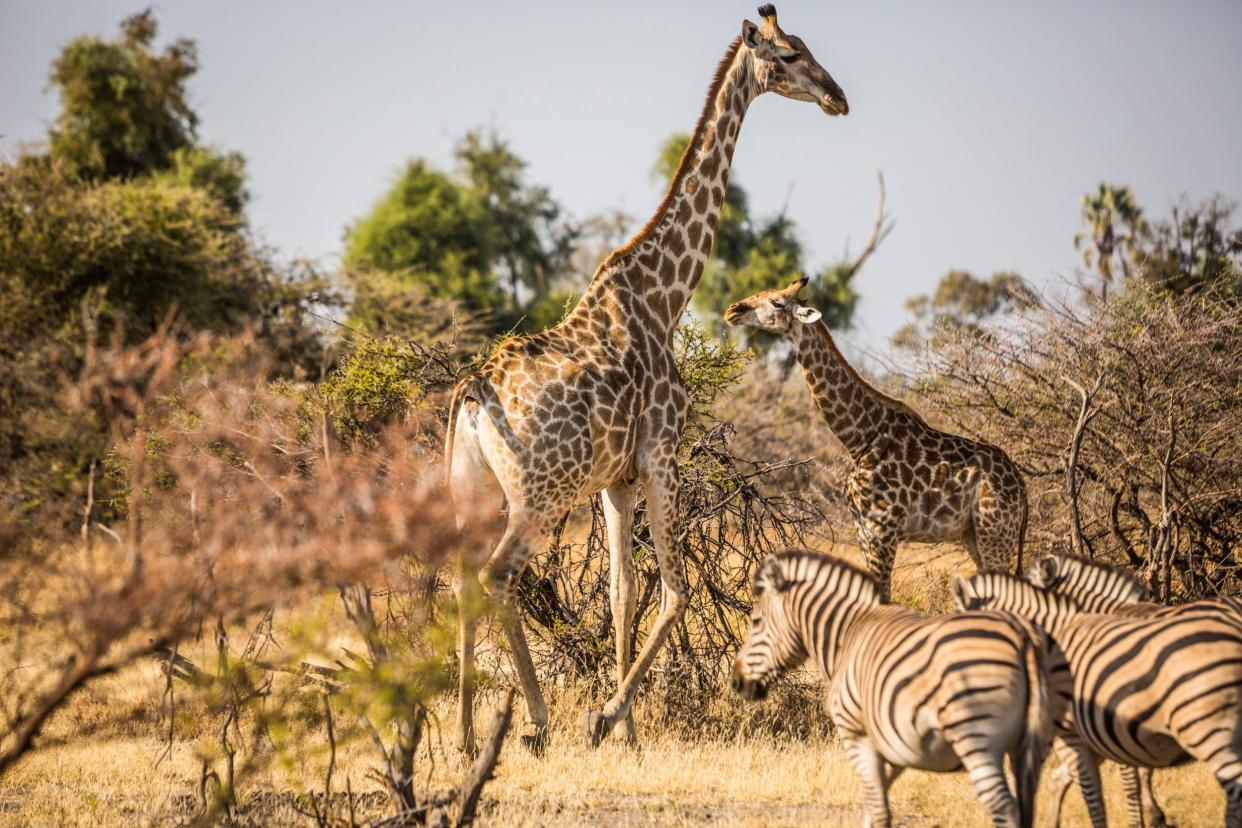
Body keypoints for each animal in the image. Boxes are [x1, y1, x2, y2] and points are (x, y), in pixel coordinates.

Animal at [442, 6, 849, 754]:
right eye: (788, 54)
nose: (838, 96)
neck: (665, 296)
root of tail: (473, 397)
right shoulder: (661, 454)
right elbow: (676, 591)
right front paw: (603, 716)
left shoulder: (617, 479)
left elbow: (623, 592)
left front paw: (626, 729)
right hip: (538, 496)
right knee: (497, 576)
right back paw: (534, 721)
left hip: (471, 492)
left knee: (463, 579)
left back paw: (459, 732)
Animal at [730, 551, 1053, 828]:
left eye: (755, 621)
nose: (736, 682)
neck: (848, 635)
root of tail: (1023, 638)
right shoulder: (894, 747)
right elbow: (873, 809)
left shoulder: (856, 734)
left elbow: (878, 810)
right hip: (1028, 746)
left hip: (975, 737)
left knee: (1004, 808)